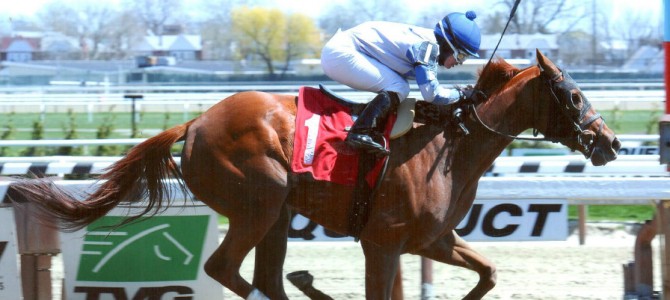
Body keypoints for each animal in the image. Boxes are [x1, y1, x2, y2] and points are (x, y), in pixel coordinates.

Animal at [10, 50, 620, 298]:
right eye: (573, 94)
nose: (610, 142)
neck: (452, 143)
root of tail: (195, 121)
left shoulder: (433, 239)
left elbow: (489, 273)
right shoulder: (383, 242)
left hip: (277, 214)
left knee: (266, 277)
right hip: (261, 199)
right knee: (230, 269)